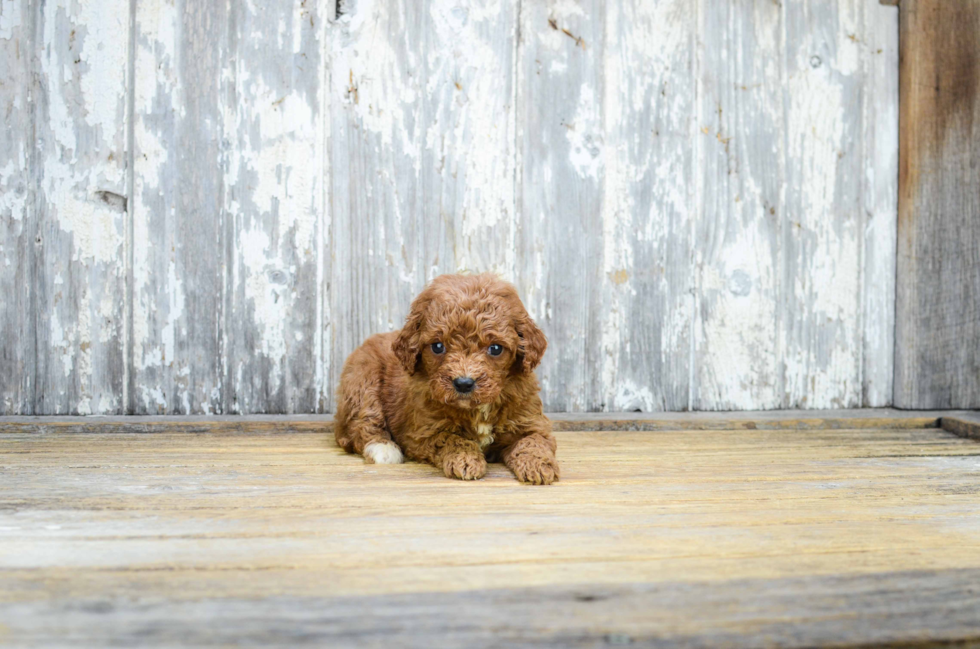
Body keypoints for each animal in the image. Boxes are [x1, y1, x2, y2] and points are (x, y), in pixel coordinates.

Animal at [334, 270, 560, 484]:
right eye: (437, 346)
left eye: (495, 348)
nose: (464, 383)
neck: (477, 409)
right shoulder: (423, 432)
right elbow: (452, 439)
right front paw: (466, 460)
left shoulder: (530, 422)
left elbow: (534, 441)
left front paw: (540, 466)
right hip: (363, 381)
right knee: (358, 426)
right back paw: (383, 448)